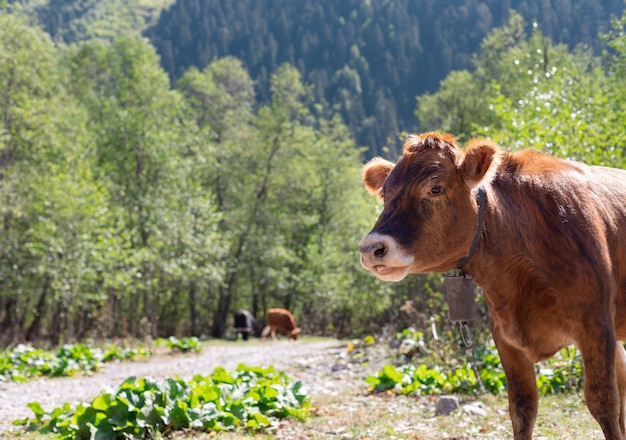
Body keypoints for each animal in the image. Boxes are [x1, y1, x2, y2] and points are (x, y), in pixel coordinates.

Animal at [358, 131, 624, 440]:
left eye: (434, 188)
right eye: (385, 194)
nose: (370, 248)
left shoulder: (596, 326)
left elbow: (604, 403)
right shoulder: (505, 336)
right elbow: (522, 409)